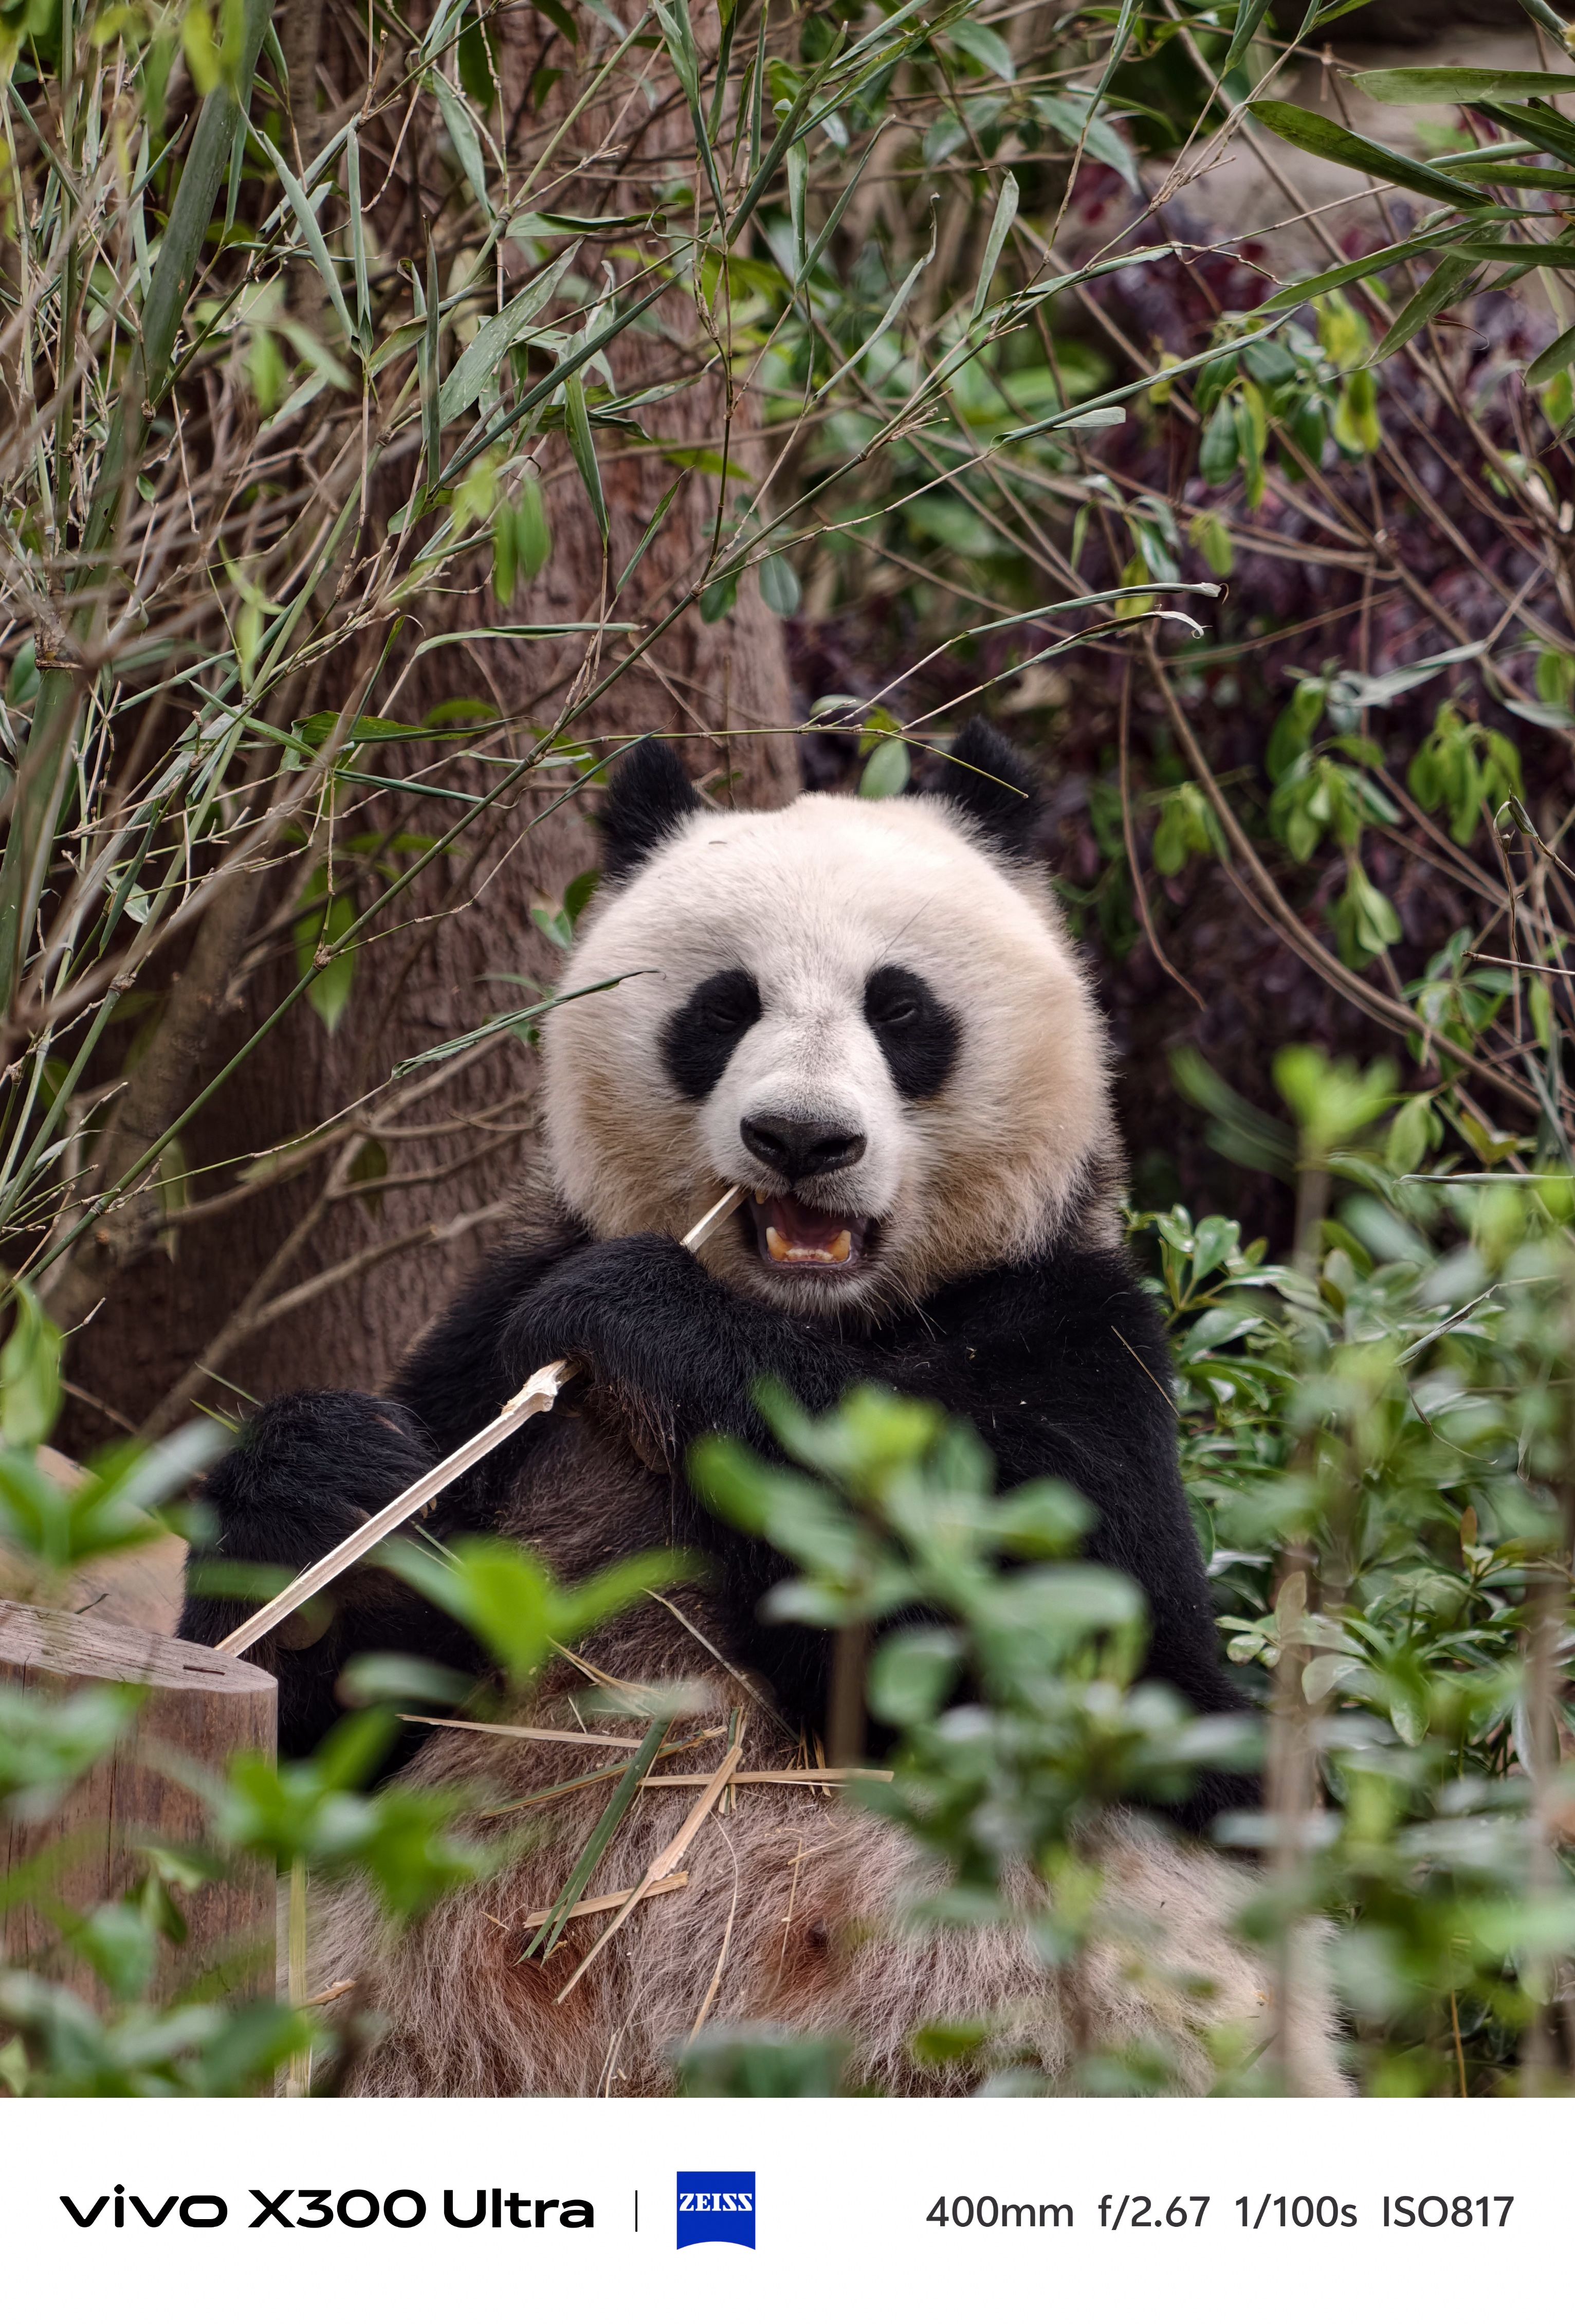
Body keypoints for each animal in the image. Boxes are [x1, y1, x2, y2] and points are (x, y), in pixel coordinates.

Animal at [181, 720, 1344, 2096]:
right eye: (720, 1007)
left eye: (900, 1010)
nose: (801, 1138)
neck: (821, 1322)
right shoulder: (483, 1351)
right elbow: (319, 1717)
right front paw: (332, 1492)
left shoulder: (1076, 1331)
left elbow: (1064, 1633)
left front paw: (637, 1309)